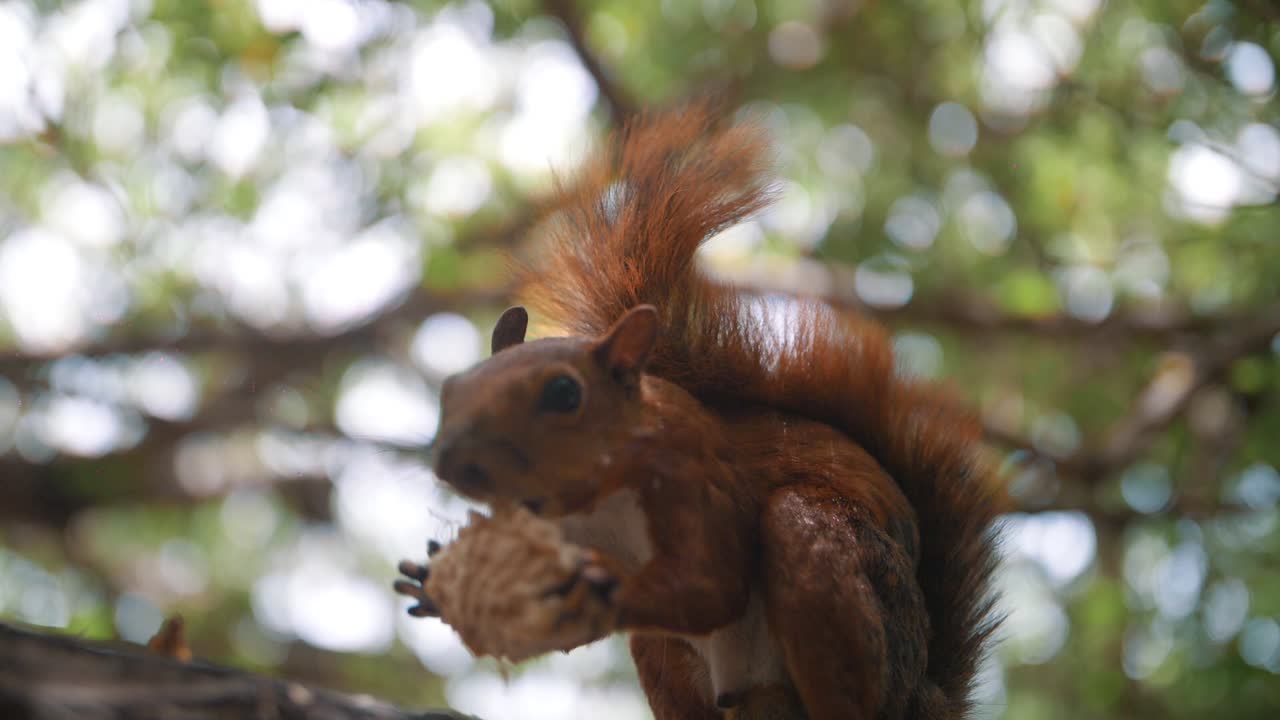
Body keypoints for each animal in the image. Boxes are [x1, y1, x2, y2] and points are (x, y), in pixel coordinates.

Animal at [395, 106, 1002, 720]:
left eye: (565, 394)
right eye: (451, 387)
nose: (453, 463)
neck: (594, 501)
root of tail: (927, 696)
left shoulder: (695, 474)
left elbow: (711, 586)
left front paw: (601, 585)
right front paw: (433, 582)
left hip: (835, 576)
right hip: (676, 662)